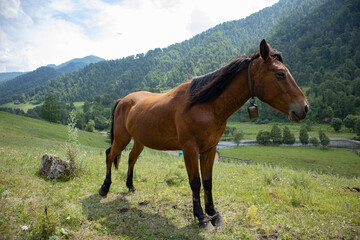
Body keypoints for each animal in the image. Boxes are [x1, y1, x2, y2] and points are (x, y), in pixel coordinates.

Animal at [99, 39, 310, 231]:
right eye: (280, 73)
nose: (305, 107)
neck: (205, 105)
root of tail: (123, 100)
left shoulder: (210, 149)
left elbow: (208, 182)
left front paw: (214, 214)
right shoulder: (190, 149)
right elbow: (195, 183)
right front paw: (201, 218)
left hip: (139, 141)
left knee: (131, 159)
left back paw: (130, 186)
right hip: (122, 138)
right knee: (110, 155)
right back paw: (104, 188)